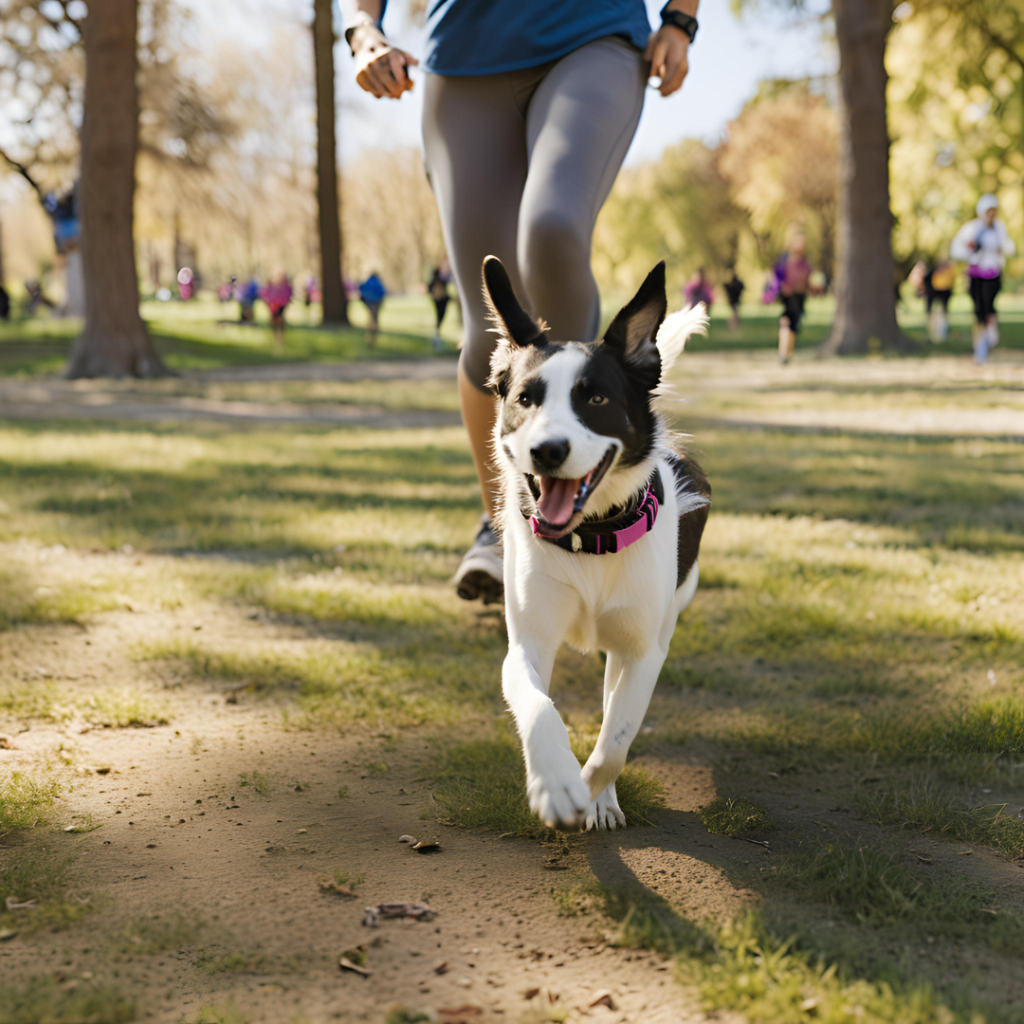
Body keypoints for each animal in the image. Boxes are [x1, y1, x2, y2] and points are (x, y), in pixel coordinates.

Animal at [481, 256, 708, 831]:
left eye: (597, 399)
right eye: (525, 399)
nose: (546, 450)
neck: (591, 538)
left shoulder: (643, 652)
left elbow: (615, 742)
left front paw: (589, 791)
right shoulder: (527, 644)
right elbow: (539, 707)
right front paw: (557, 783)